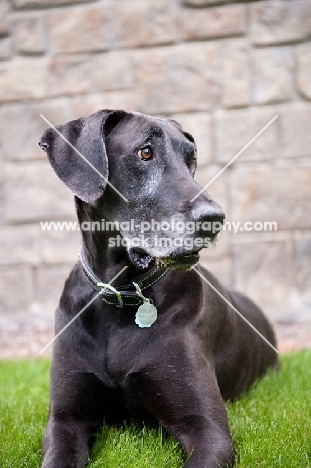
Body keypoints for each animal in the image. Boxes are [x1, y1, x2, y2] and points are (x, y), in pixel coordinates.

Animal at [37, 110, 280, 468]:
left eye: (191, 159)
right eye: (145, 152)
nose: (214, 218)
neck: (122, 294)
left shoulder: (207, 429)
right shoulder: (66, 419)